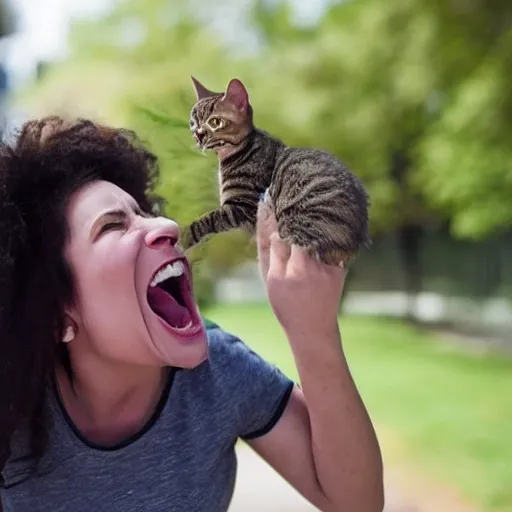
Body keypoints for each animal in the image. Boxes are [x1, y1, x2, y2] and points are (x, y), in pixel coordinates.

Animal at [184, 77, 372, 266]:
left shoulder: (243, 208)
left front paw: (184, 238)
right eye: (193, 123)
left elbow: (205, 221)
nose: (198, 135)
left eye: (215, 122)